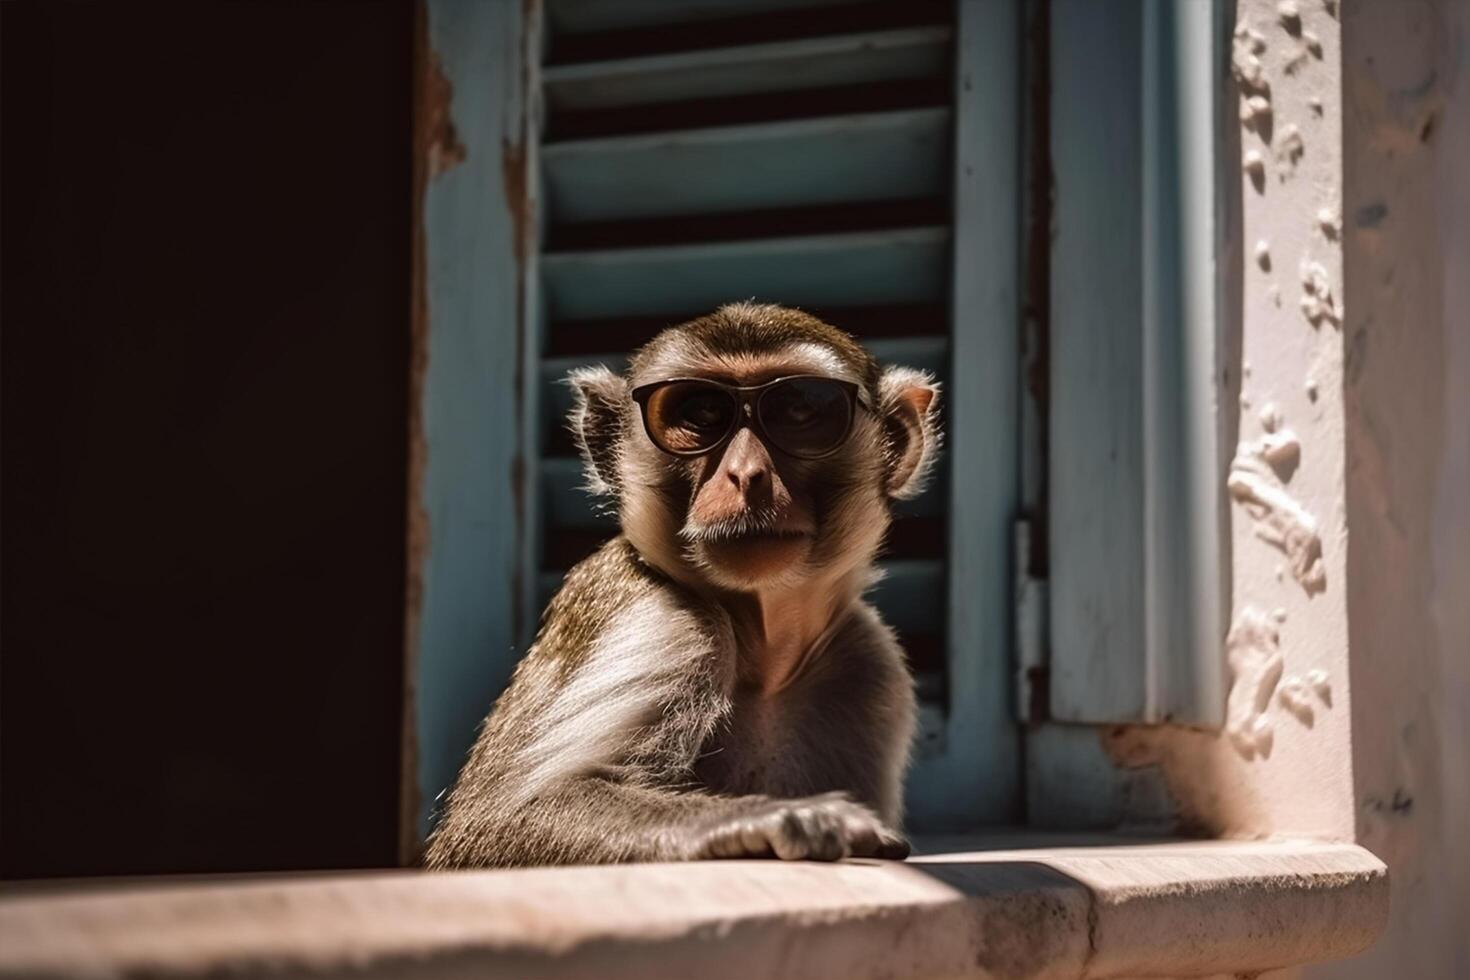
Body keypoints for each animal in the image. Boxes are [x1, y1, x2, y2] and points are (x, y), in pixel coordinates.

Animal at [423, 302, 940, 869]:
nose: (746, 474)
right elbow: (494, 824)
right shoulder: (672, 625)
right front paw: (766, 818)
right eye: (700, 414)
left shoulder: (870, 664)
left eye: (800, 411)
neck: (763, 649)